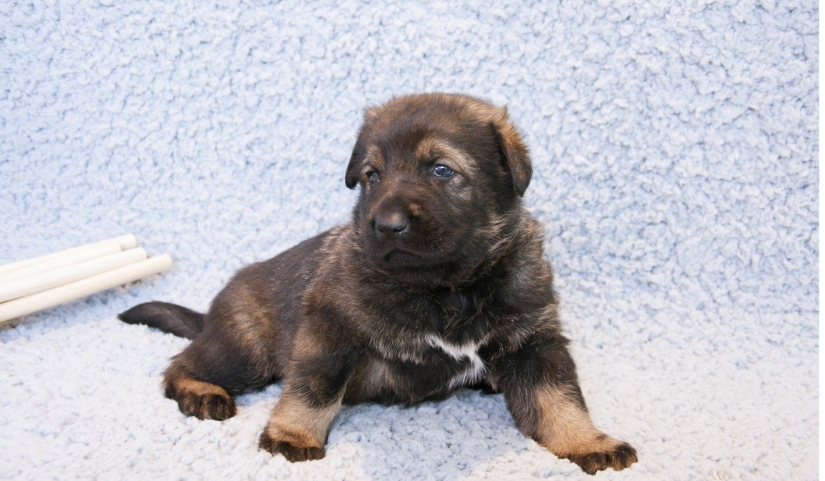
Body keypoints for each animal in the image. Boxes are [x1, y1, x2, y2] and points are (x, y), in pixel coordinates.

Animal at [119, 93, 636, 472]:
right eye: (372, 175)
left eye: (441, 170)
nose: (386, 225)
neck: (446, 289)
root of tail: (211, 314)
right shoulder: (329, 329)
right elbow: (313, 388)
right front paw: (292, 434)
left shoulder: (534, 340)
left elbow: (559, 399)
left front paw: (587, 442)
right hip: (247, 349)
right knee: (182, 365)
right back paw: (203, 393)